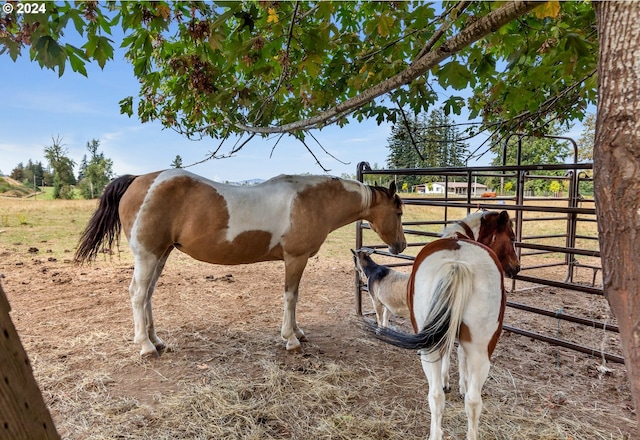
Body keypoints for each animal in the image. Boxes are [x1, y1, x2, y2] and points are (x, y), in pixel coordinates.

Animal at [76, 168, 404, 358]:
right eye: (399, 212)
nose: (400, 246)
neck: (312, 200)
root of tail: (139, 181)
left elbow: (294, 298)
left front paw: (297, 332)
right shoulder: (295, 259)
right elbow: (291, 297)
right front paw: (290, 339)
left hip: (161, 255)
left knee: (147, 296)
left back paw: (156, 341)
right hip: (147, 255)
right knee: (137, 294)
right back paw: (145, 346)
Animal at [364, 210, 520, 440]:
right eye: (511, 237)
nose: (516, 267)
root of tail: (458, 264)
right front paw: (459, 384)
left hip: (440, 350)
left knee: (441, 397)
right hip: (479, 350)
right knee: (469, 399)